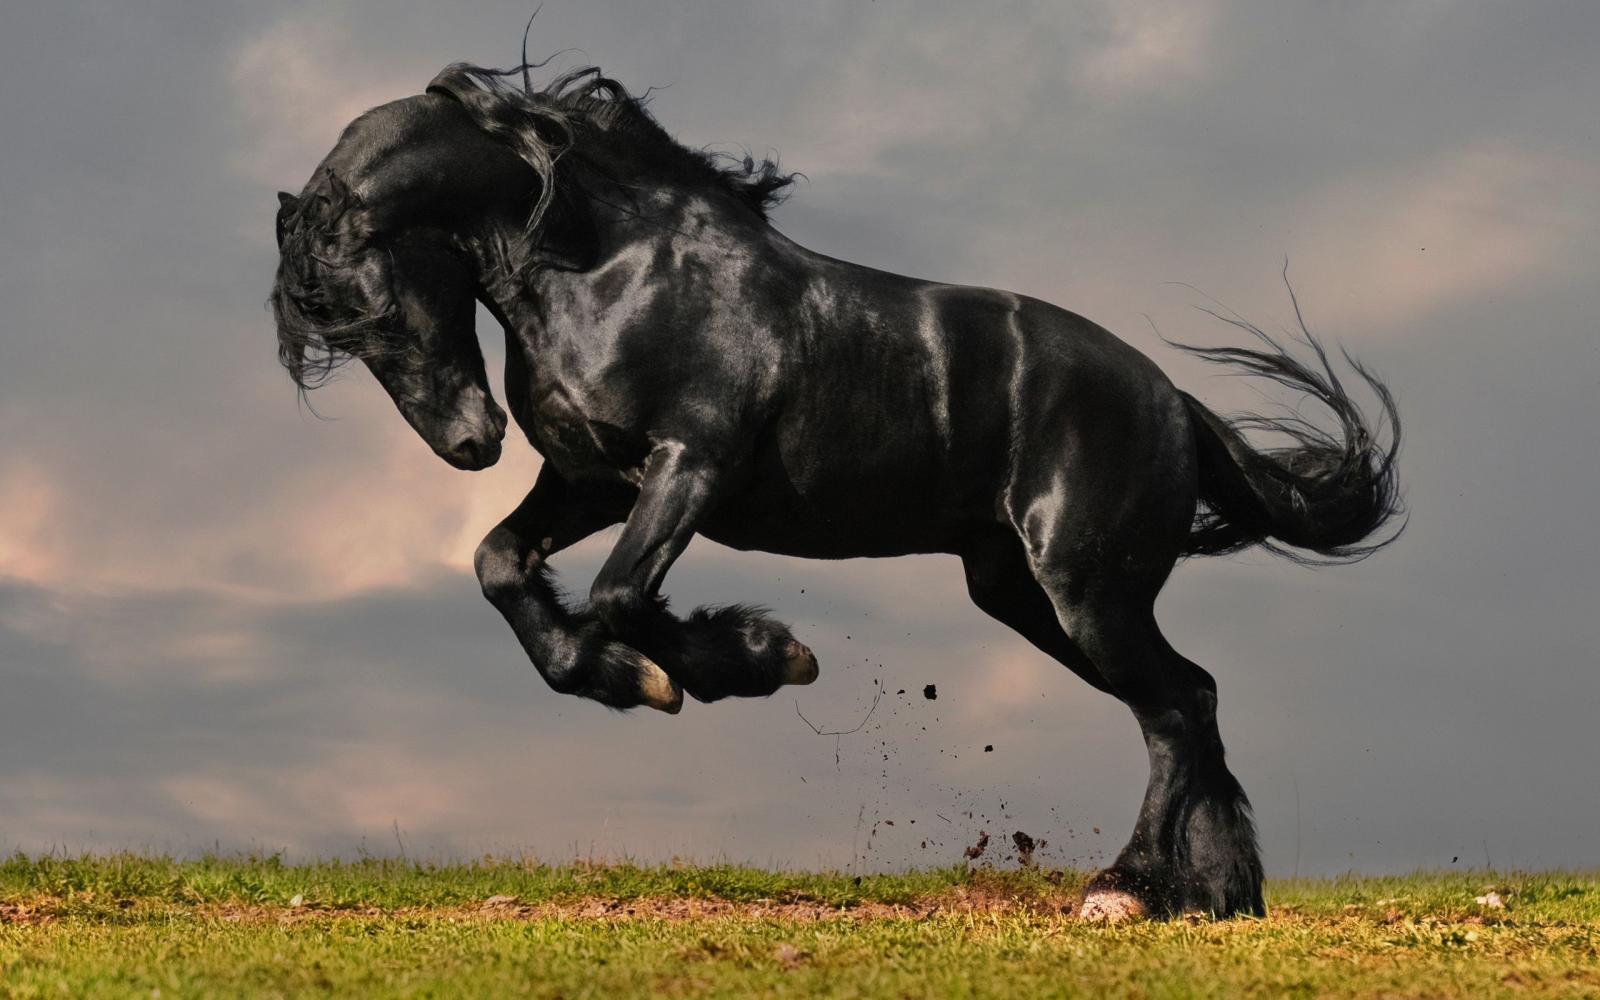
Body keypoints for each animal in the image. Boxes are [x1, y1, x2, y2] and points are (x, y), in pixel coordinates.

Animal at [270, 59, 1401, 920]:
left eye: (373, 308)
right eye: (336, 332)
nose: (469, 443)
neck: (611, 267)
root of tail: (1173, 403)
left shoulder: (688, 466)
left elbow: (620, 595)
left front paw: (750, 659)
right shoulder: (590, 478)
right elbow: (502, 565)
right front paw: (630, 676)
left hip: (1088, 591)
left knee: (1174, 707)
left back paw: (1126, 889)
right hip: (1024, 594)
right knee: (1190, 699)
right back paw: (1212, 895)